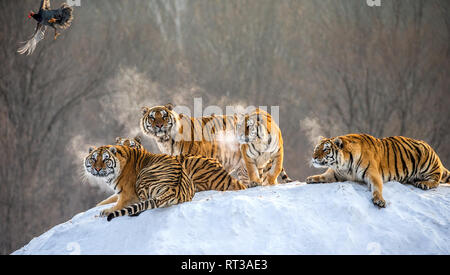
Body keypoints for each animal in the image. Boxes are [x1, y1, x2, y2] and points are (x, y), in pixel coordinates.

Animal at [84, 144, 246, 222]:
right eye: (93, 159)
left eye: (105, 159)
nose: (97, 168)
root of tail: (174, 189)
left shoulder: (127, 194)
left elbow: (116, 204)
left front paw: (105, 211)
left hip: (144, 177)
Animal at [306, 134, 450, 209]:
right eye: (316, 148)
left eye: (325, 150)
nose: (313, 157)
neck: (343, 165)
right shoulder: (337, 173)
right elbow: (324, 176)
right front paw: (312, 178)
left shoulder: (373, 174)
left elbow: (377, 188)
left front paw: (379, 200)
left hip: (427, 161)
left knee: (436, 178)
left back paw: (424, 183)